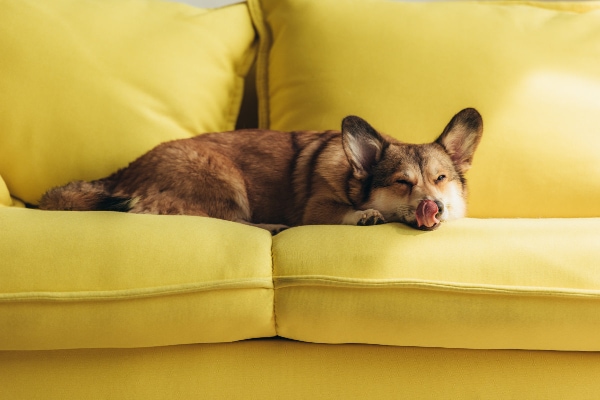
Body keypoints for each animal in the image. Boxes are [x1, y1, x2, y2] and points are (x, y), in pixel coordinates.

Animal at [39, 108, 482, 234]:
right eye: (402, 183)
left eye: (441, 179)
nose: (436, 206)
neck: (351, 176)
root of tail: (122, 173)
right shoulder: (317, 208)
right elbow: (344, 211)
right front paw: (365, 215)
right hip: (225, 180)